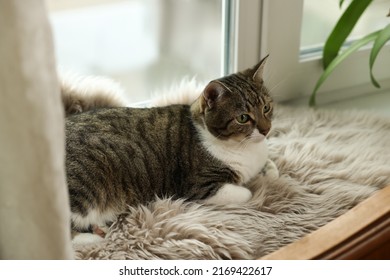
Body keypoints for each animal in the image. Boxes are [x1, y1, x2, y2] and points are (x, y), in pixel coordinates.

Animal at [64, 55, 278, 242]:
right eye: (243, 118)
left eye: (266, 108)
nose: (266, 129)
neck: (246, 148)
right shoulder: (199, 187)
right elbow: (246, 192)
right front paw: (252, 185)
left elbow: (270, 168)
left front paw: (269, 172)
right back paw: (91, 238)